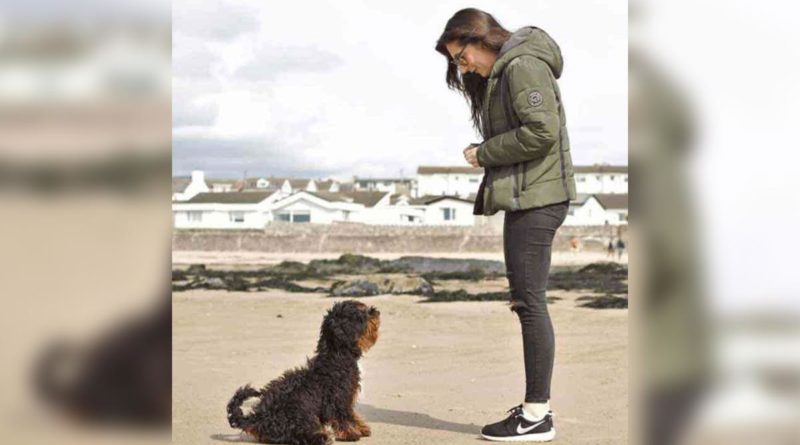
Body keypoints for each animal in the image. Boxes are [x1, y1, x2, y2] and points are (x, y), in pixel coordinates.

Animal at [228, 300, 382, 442]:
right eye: (361, 315)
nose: (376, 312)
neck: (336, 356)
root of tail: (257, 419)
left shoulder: (346, 397)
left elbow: (352, 415)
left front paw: (361, 428)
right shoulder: (338, 398)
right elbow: (343, 417)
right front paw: (351, 433)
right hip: (299, 412)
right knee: (297, 434)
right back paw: (321, 436)